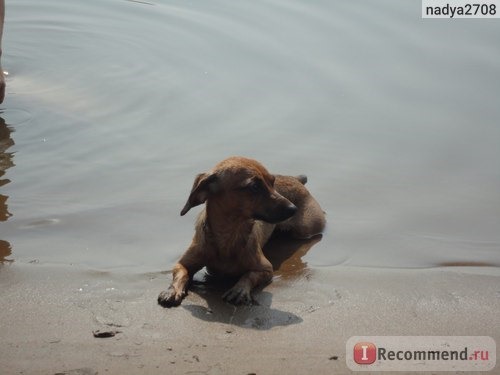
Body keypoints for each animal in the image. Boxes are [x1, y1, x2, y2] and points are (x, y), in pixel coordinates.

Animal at [158, 157, 326, 306]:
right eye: (254, 186)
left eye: (272, 182)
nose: (293, 209)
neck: (228, 236)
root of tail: (297, 180)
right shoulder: (182, 263)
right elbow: (181, 274)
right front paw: (173, 290)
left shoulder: (265, 269)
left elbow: (248, 275)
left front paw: (239, 289)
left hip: (305, 229)